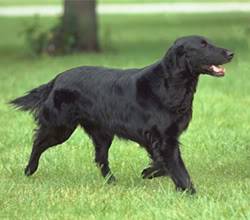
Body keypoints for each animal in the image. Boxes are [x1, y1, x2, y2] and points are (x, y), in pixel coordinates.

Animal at [9, 35, 233, 192]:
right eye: (203, 45)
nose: (231, 53)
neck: (169, 85)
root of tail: (56, 79)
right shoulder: (163, 138)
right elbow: (175, 166)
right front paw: (189, 191)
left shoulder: (158, 138)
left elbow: (162, 162)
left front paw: (150, 173)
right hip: (60, 127)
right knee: (38, 143)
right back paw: (29, 170)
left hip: (102, 133)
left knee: (100, 159)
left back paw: (112, 182)